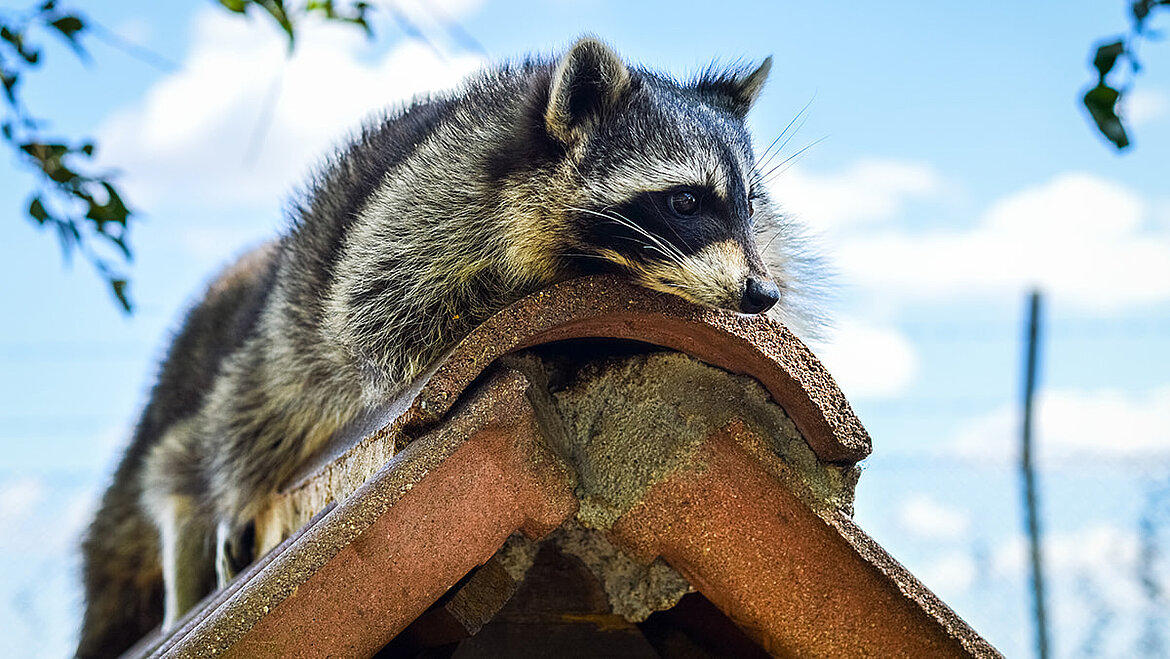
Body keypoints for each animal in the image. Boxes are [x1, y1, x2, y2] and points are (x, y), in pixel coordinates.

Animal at [76, 37, 814, 658]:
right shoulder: (421, 213)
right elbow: (389, 320)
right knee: (244, 419)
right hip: (288, 327)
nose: (761, 294)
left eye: (750, 205)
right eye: (686, 201)